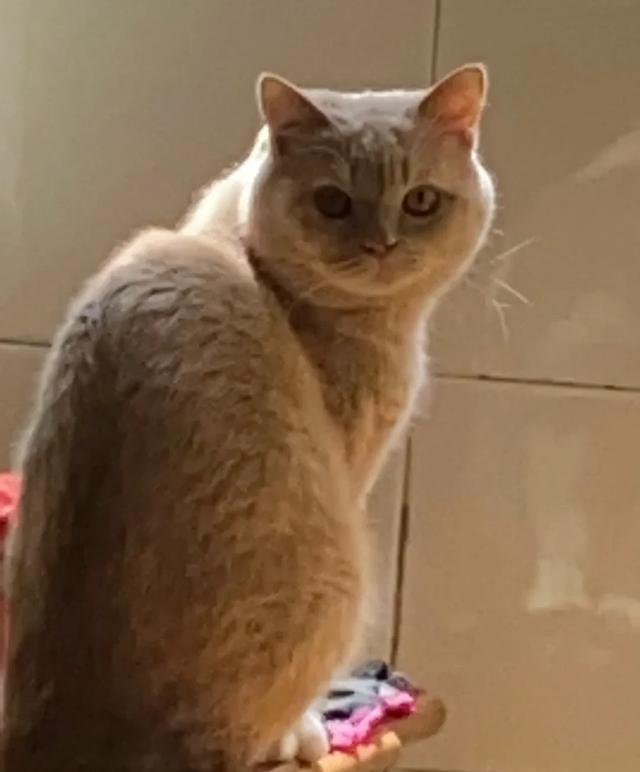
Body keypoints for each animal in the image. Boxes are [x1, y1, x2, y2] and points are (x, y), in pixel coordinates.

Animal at [3, 64, 495, 772]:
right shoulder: (351, 467)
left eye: (421, 201)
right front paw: (312, 729)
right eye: (332, 203)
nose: (380, 245)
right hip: (339, 577)